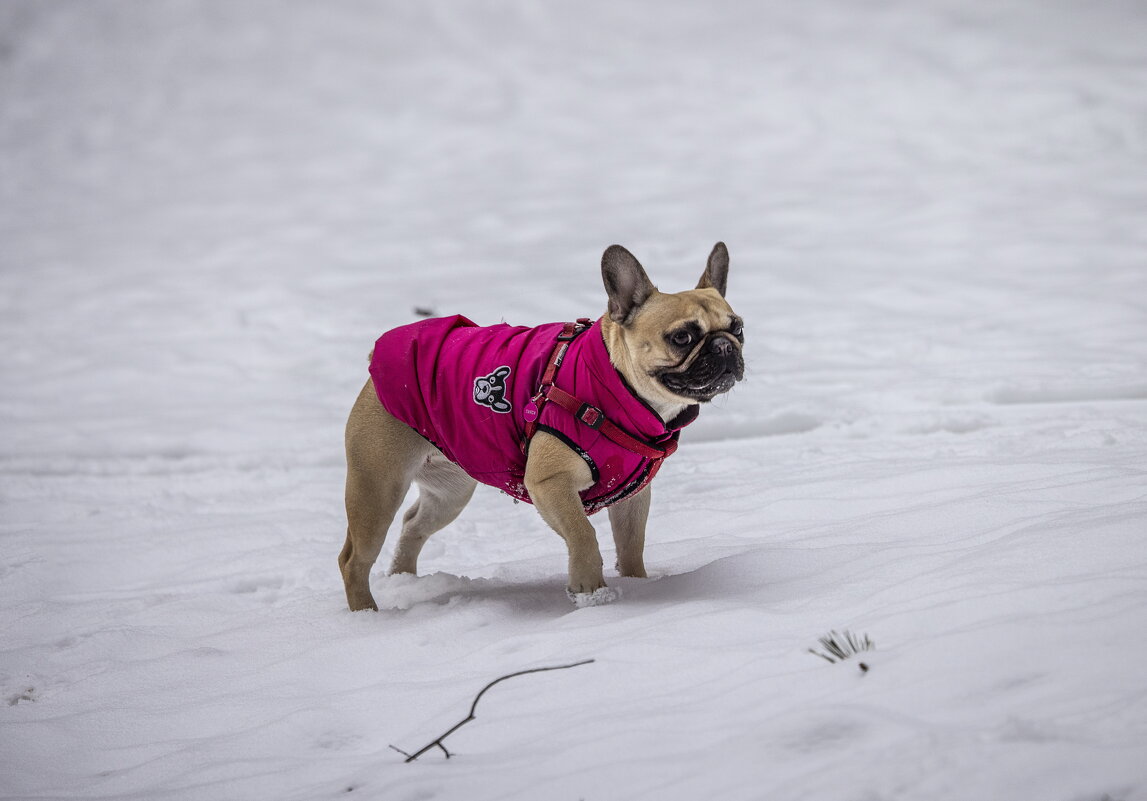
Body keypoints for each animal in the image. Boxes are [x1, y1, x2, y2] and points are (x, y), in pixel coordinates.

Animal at [334, 239, 743, 610]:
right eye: (682, 337)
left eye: (738, 327)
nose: (725, 346)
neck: (617, 384)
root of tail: (379, 356)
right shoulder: (550, 483)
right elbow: (583, 534)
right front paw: (590, 593)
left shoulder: (632, 498)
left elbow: (631, 546)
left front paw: (637, 584)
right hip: (378, 486)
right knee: (354, 559)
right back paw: (367, 615)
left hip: (450, 491)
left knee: (413, 524)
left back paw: (404, 581)